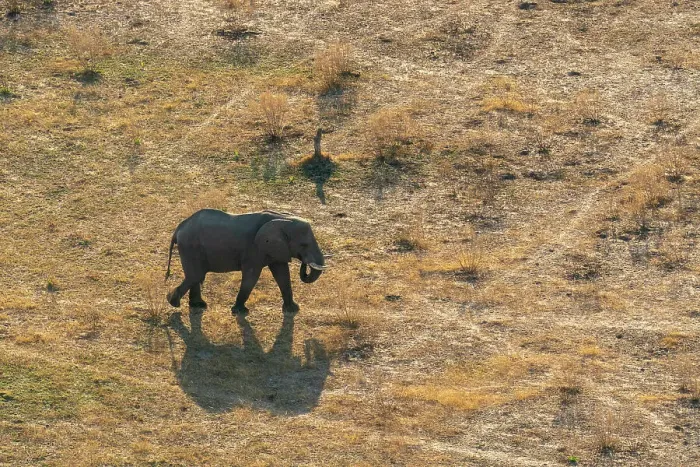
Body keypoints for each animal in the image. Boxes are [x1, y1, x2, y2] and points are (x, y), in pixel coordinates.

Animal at [165, 209, 327, 314]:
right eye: (304, 245)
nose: (305, 262)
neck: (282, 218)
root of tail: (178, 228)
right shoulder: (254, 249)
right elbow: (251, 275)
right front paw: (240, 312)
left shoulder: (276, 249)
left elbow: (282, 274)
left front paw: (293, 309)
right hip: (190, 247)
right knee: (195, 275)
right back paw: (173, 302)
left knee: (196, 276)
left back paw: (197, 306)